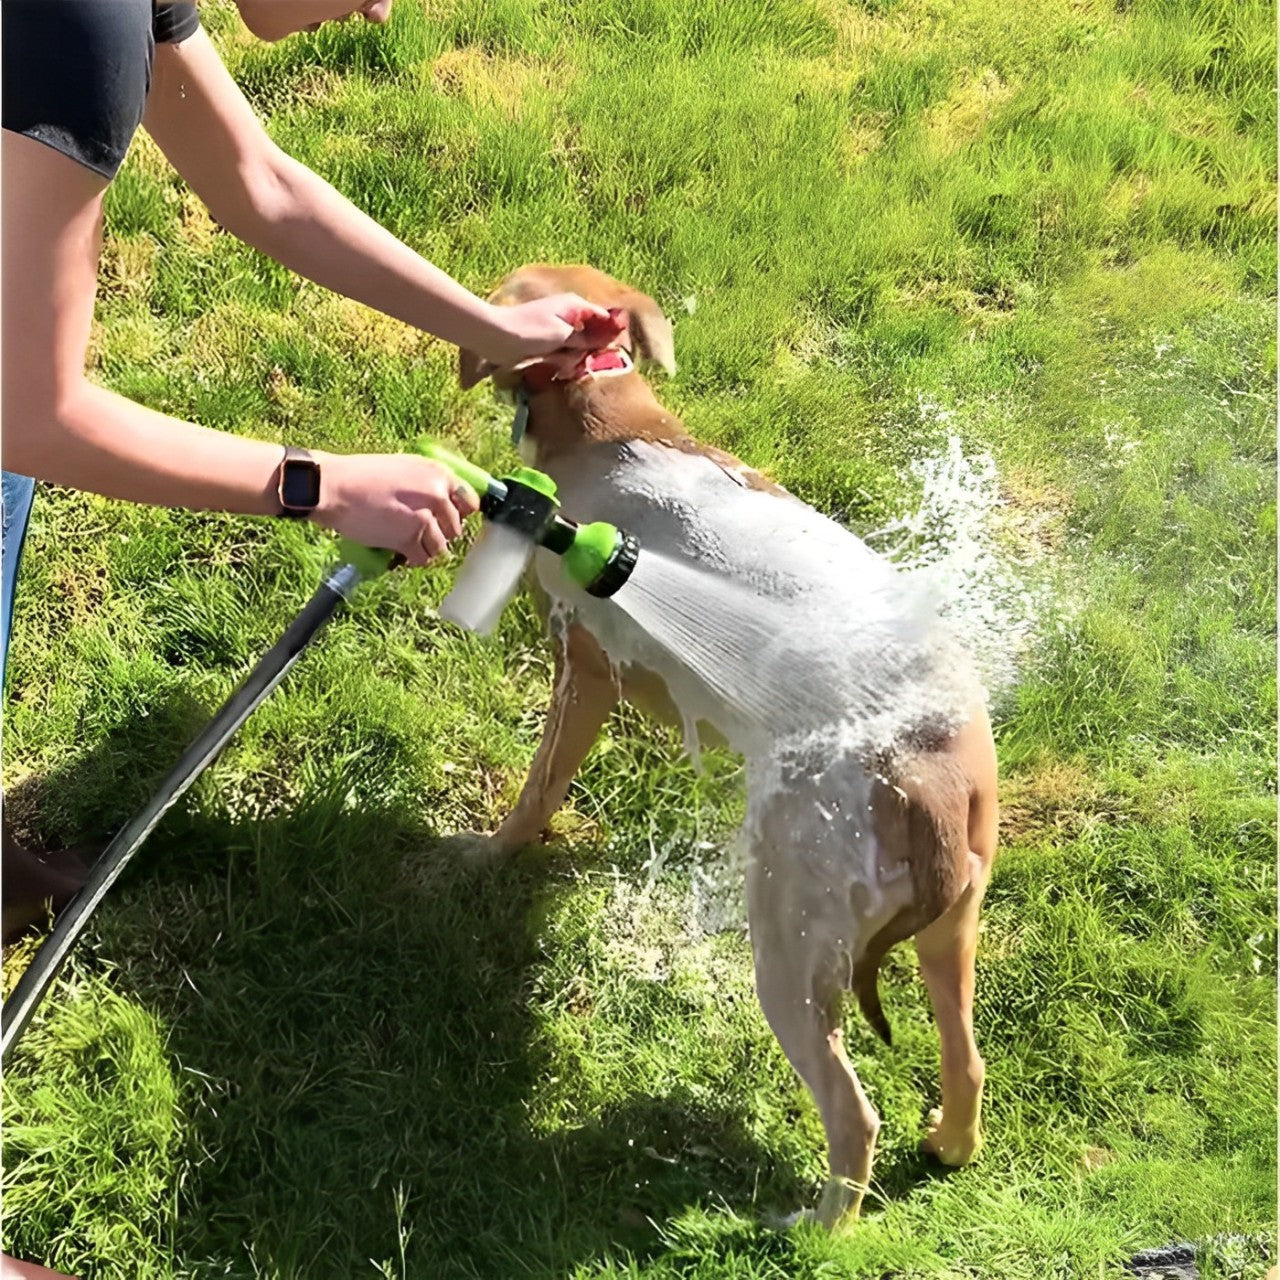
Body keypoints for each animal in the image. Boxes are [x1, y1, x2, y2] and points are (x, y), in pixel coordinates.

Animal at [453, 262, 998, 1228]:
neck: (611, 421)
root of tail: (928, 781)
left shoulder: (584, 668)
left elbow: (537, 790)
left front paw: (486, 854)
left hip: (791, 947)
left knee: (854, 1113)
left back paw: (817, 1229)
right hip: (952, 929)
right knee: (967, 1061)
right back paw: (947, 1145)